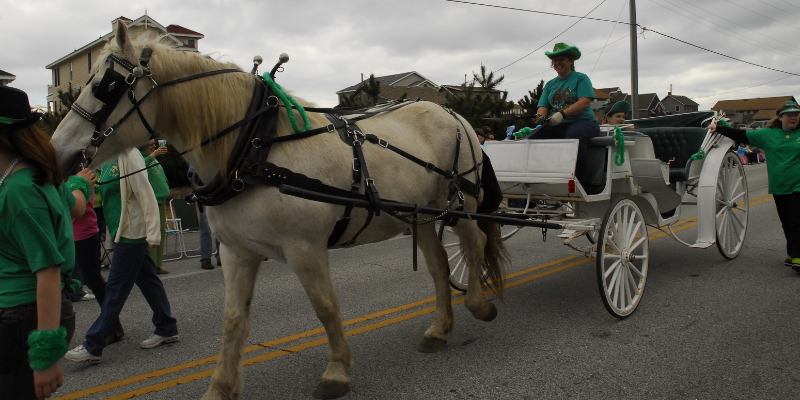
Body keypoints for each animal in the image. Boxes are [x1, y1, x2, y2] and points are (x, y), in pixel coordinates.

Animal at [53, 21, 510, 400]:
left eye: (108, 84)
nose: (58, 153)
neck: (254, 147)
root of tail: (451, 112)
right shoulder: (237, 252)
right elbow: (234, 319)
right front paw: (220, 387)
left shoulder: (305, 248)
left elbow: (326, 307)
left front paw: (337, 372)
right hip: (421, 214)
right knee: (437, 266)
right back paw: (439, 329)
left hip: (461, 205)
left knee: (473, 245)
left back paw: (481, 305)